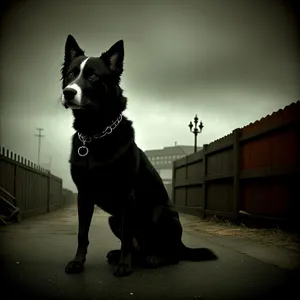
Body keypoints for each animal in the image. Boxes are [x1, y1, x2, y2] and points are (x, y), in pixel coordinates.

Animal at [61, 34, 217, 276]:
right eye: (70, 74)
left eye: (93, 76)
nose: (68, 92)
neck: (95, 133)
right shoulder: (84, 195)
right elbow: (82, 233)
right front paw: (78, 262)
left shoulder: (127, 196)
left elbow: (127, 234)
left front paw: (124, 266)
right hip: (113, 219)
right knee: (139, 247)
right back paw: (124, 255)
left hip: (160, 213)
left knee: (172, 254)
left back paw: (155, 258)